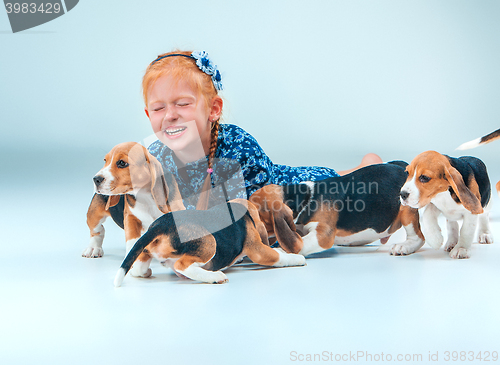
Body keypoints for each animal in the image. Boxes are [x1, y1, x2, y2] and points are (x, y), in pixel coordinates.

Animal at [84, 140, 186, 276]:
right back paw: (93, 248)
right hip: (94, 214)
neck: (145, 195)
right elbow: (132, 240)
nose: (96, 179)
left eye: (122, 163)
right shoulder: (131, 218)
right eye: (105, 160)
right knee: (97, 230)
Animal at [115, 199, 306, 284]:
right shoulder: (258, 249)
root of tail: (161, 224)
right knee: (181, 266)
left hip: (145, 250)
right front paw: (296, 258)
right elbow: (279, 257)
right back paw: (215, 276)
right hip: (209, 242)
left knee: (139, 267)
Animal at [248, 161, 424, 258]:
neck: (306, 197)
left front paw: (281, 251)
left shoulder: (322, 234)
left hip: (407, 211)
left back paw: (404, 247)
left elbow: (301, 245)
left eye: (255, 213)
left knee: (418, 238)